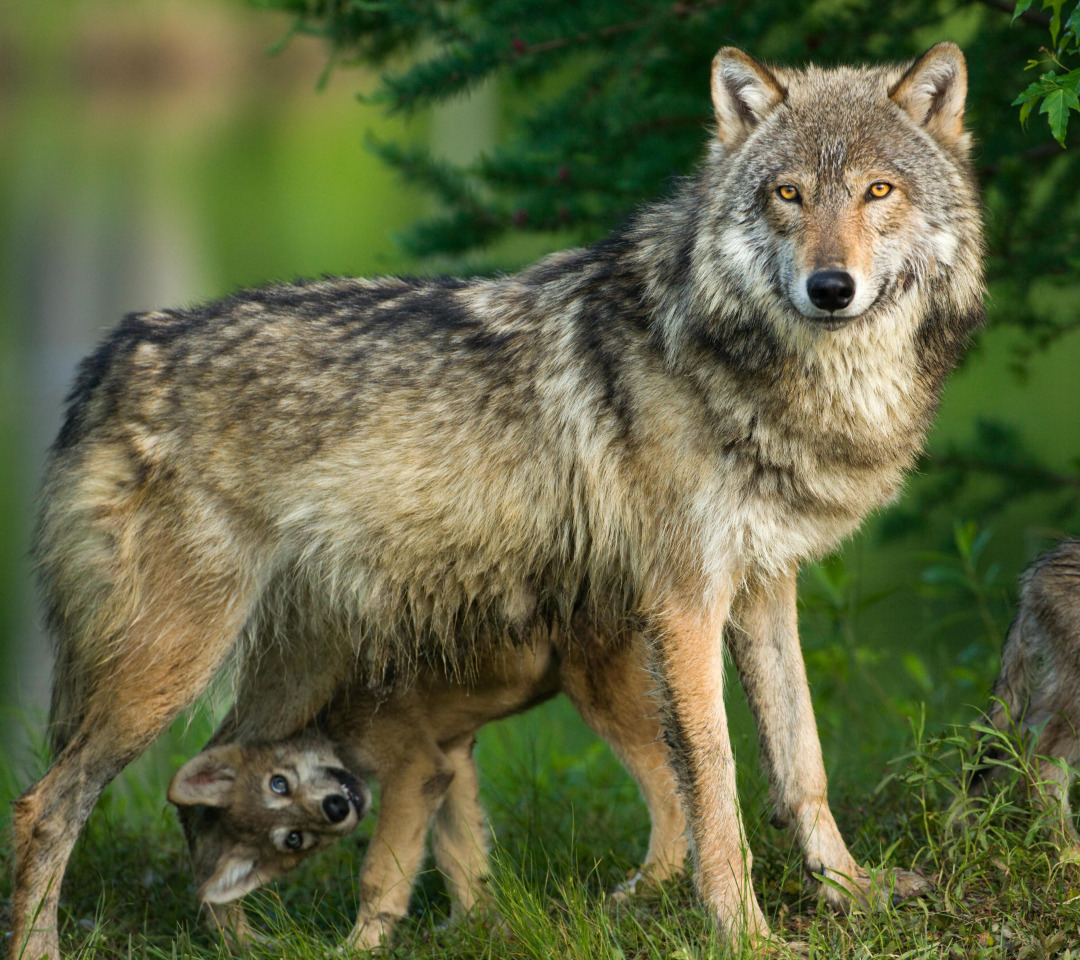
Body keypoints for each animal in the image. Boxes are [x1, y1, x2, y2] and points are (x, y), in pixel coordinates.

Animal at [171, 622, 686, 950]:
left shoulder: (414, 768)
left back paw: (646, 888)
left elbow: (380, 873)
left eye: (279, 783)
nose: (338, 808)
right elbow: (461, 856)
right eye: (294, 839)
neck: (329, 712)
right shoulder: (448, 761)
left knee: (673, 799)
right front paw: (470, 930)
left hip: (605, 695)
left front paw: (360, 946)